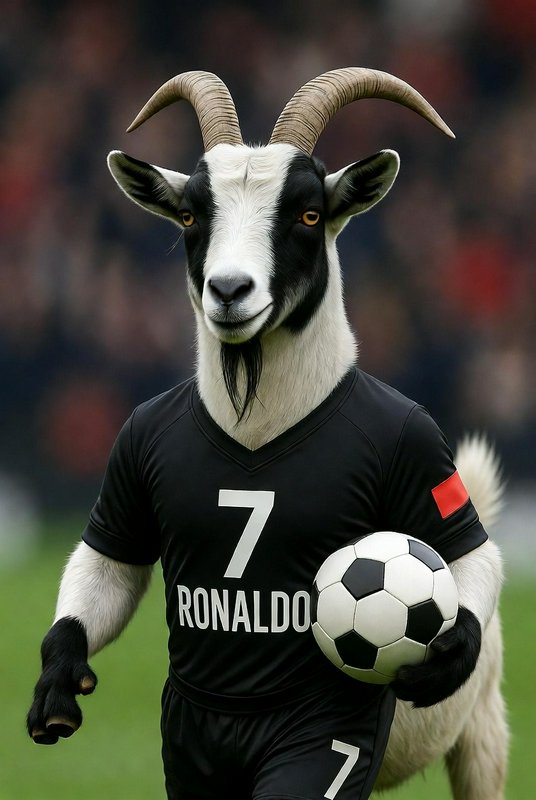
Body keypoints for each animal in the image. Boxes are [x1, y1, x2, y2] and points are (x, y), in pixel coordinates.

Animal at [27, 69, 507, 799]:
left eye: (307, 214)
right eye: (191, 215)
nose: (230, 290)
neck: (257, 420)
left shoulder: (417, 445)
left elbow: (470, 557)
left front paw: (444, 655)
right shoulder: (130, 451)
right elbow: (109, 566)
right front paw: (58, 684)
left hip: (481, 739)